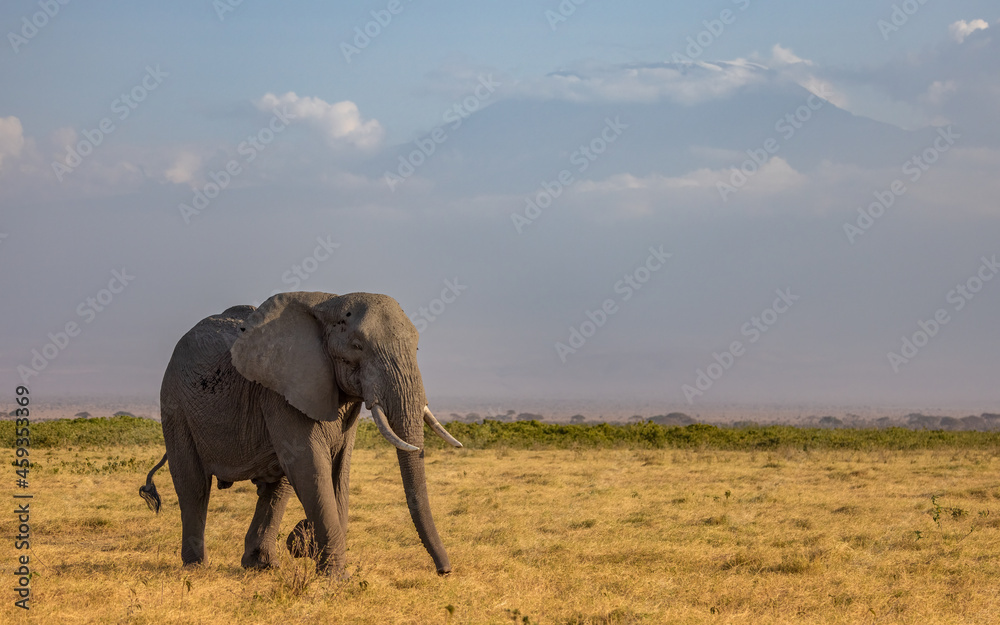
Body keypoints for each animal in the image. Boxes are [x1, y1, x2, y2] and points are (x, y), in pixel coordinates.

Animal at [139, 291, 462, 576]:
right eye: (358, 346)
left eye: (416, 349)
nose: (444, 571)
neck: (329, 304)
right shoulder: (282, 392)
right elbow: (310, 466)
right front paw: (334, 576)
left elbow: (339, 470)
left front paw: (305, 543)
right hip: (175, 405)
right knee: (193, 485)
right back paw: (196, 567)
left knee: (276, 487)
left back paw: (262, 566)